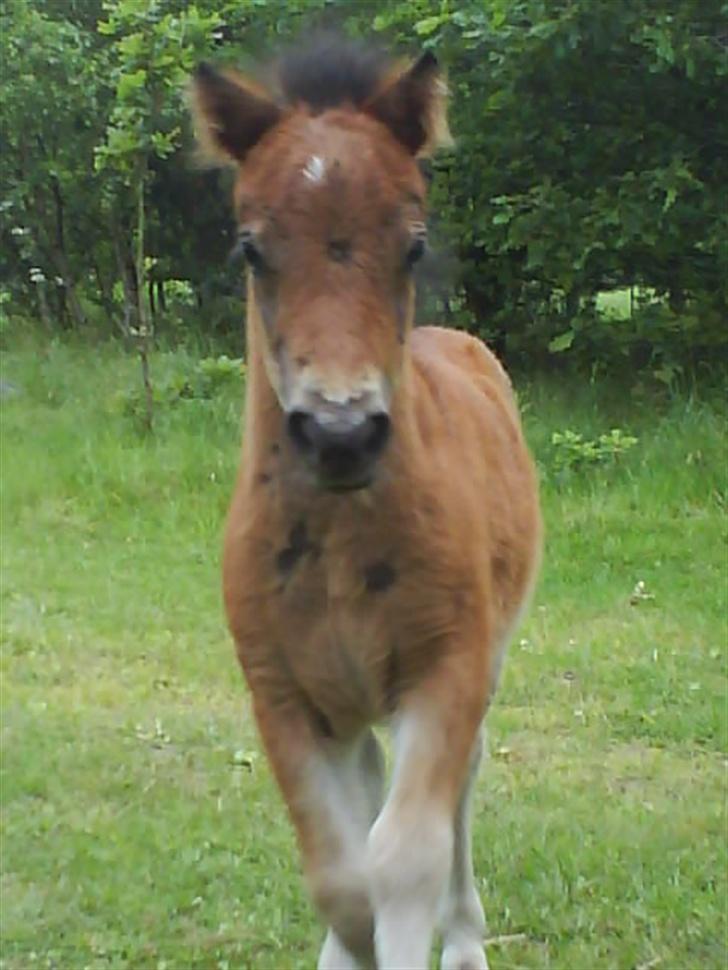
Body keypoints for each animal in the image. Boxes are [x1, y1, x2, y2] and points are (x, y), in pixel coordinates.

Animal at [191, 36, 544, 968]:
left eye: (413, 245)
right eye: (251, 249)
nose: (341, 432)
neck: (340, 547)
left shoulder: (447, 667)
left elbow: (406, 854)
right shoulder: (282, 693)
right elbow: (341, 875)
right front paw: (344, 948)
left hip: (486, 659)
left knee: (461, 790)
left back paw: (466, 941)